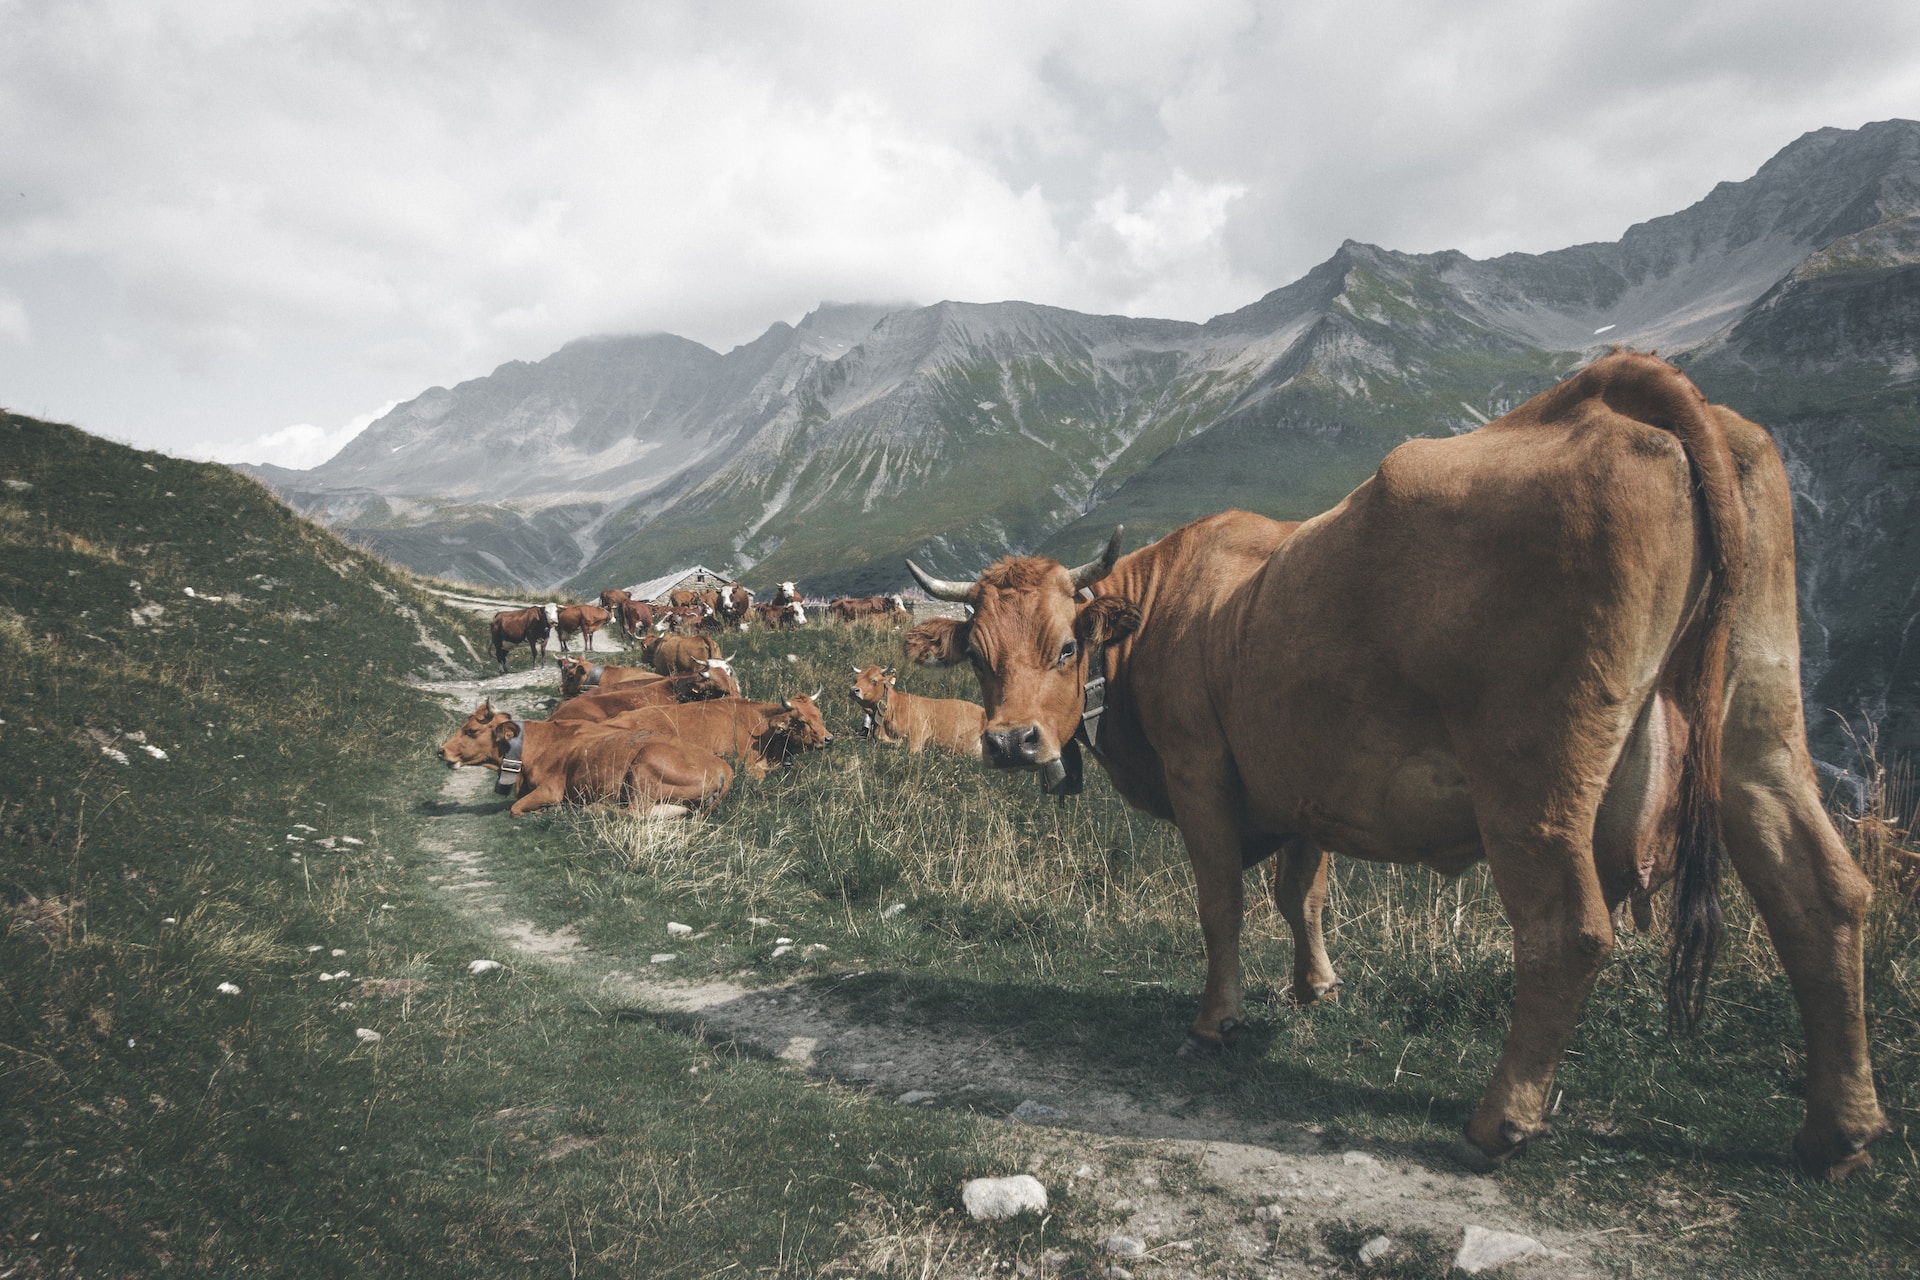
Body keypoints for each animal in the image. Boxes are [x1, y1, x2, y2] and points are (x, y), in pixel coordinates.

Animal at [439, 702, 729, 821]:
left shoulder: (551, 789)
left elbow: (516, 808)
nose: (441, 751)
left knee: (636, 812)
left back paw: (593, 809)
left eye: (471, 731)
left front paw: (548, 810)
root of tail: (722, 765)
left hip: (645, 765)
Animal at [902, 353, 1889, 1182]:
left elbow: (1222, 904)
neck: (1164, 610)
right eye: (980, 657)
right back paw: (1836, 1131)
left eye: (1067, 646)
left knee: (1569, 930)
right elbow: (1301, 891)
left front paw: (1218, 1022)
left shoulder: (1201, 773)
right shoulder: (1304, 782)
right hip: (1760, 725)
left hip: (1533, 775)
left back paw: (1499, 1122)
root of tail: (1617, 390)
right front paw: (1316, 986)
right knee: (1822, 894)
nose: (1011, 742)